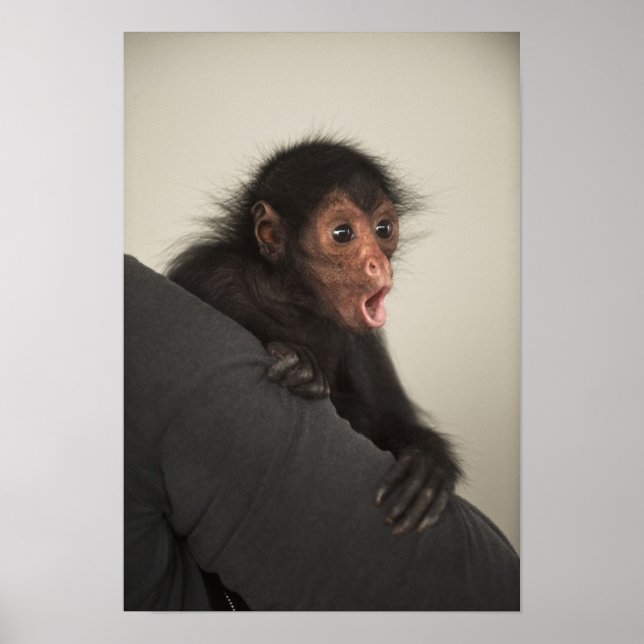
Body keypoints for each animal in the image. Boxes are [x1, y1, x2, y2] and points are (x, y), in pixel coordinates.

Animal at [167, 136, 462, 537]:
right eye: (342, 234)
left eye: (383, 229)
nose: (378, 264)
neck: (290, 303)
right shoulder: (210, 274)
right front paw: (300, 364)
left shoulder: (362, 340)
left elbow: (386, 418)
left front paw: (428, 462)